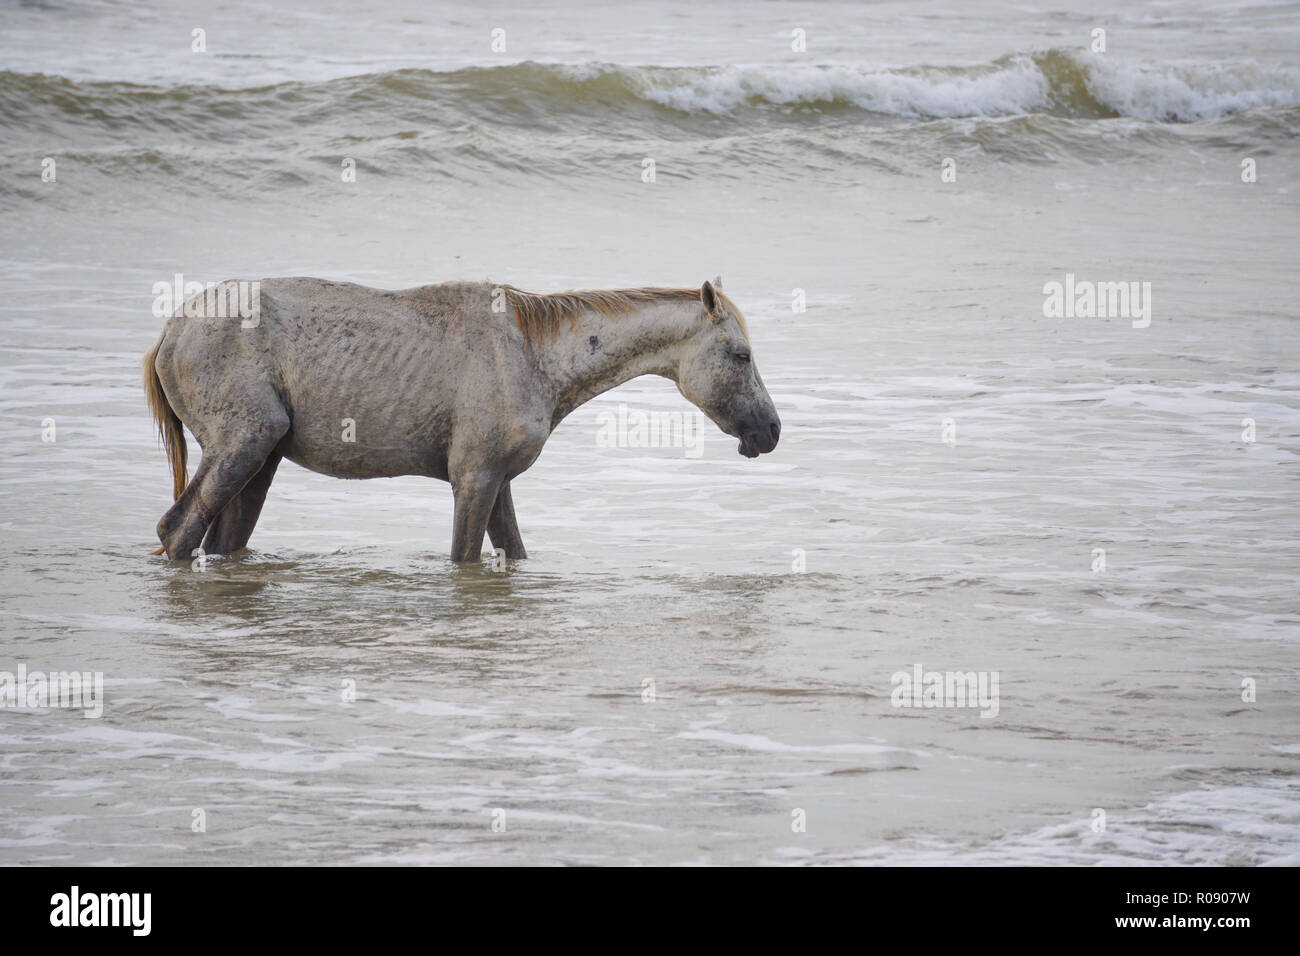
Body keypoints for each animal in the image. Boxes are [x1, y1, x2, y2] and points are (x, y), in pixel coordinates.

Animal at [142, 276, 780, 563]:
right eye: (741, 356)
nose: (770, 432)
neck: (531, 354)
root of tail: (171, 329)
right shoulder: (473, 481)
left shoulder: (497, 482)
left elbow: (514, 551)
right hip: (244, 445)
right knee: (177, 531)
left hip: (262, 462)